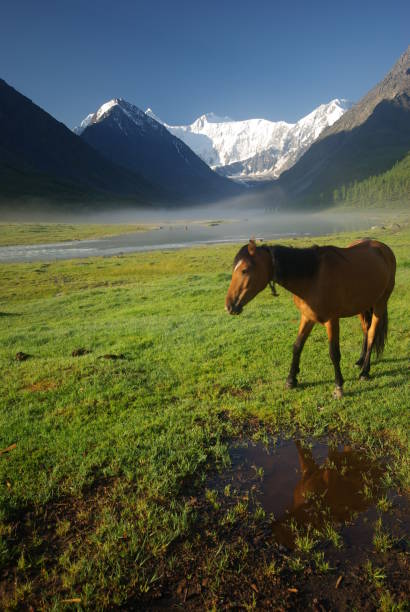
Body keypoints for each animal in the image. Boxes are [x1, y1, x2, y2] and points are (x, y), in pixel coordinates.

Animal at [226, 237, 396, 400]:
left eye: (244, 270)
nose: (229, 306)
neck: (313, 277)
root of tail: (383, 248)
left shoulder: (332, 320)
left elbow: (334, 353)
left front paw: (338, 387)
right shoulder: (307, 317)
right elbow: (297, 346)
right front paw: (291, 380)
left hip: (380, 303)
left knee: (372, 334)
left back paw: (365, 372)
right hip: (363, 306)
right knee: (366, 330)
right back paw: (360, 361)